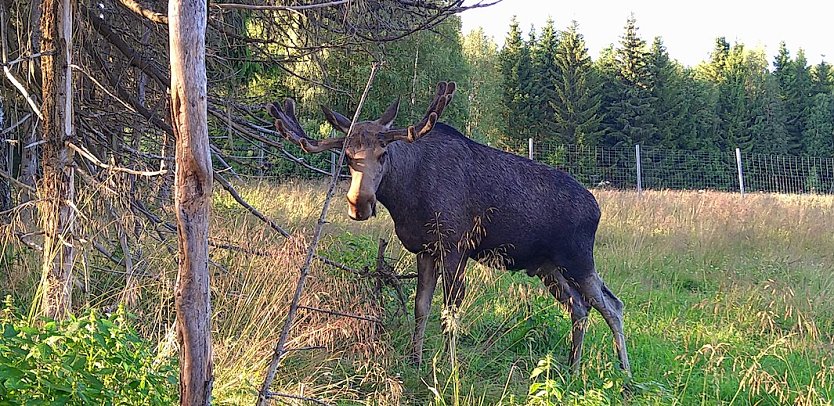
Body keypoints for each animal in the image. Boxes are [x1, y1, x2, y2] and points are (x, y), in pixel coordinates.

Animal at [267, 81, 631, 375]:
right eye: (347, 156)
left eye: (383, 154)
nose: (360, 203)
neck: (406, 198)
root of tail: (596, 208)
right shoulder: (424, 249)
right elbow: (421, 306)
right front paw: (415, 359)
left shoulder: (456, 245)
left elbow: (450, 311)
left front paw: (448, 363)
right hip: (547, 266)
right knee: (579, 306)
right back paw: (572, 367)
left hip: (578, 258)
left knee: (612, 305)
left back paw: (624, 374)